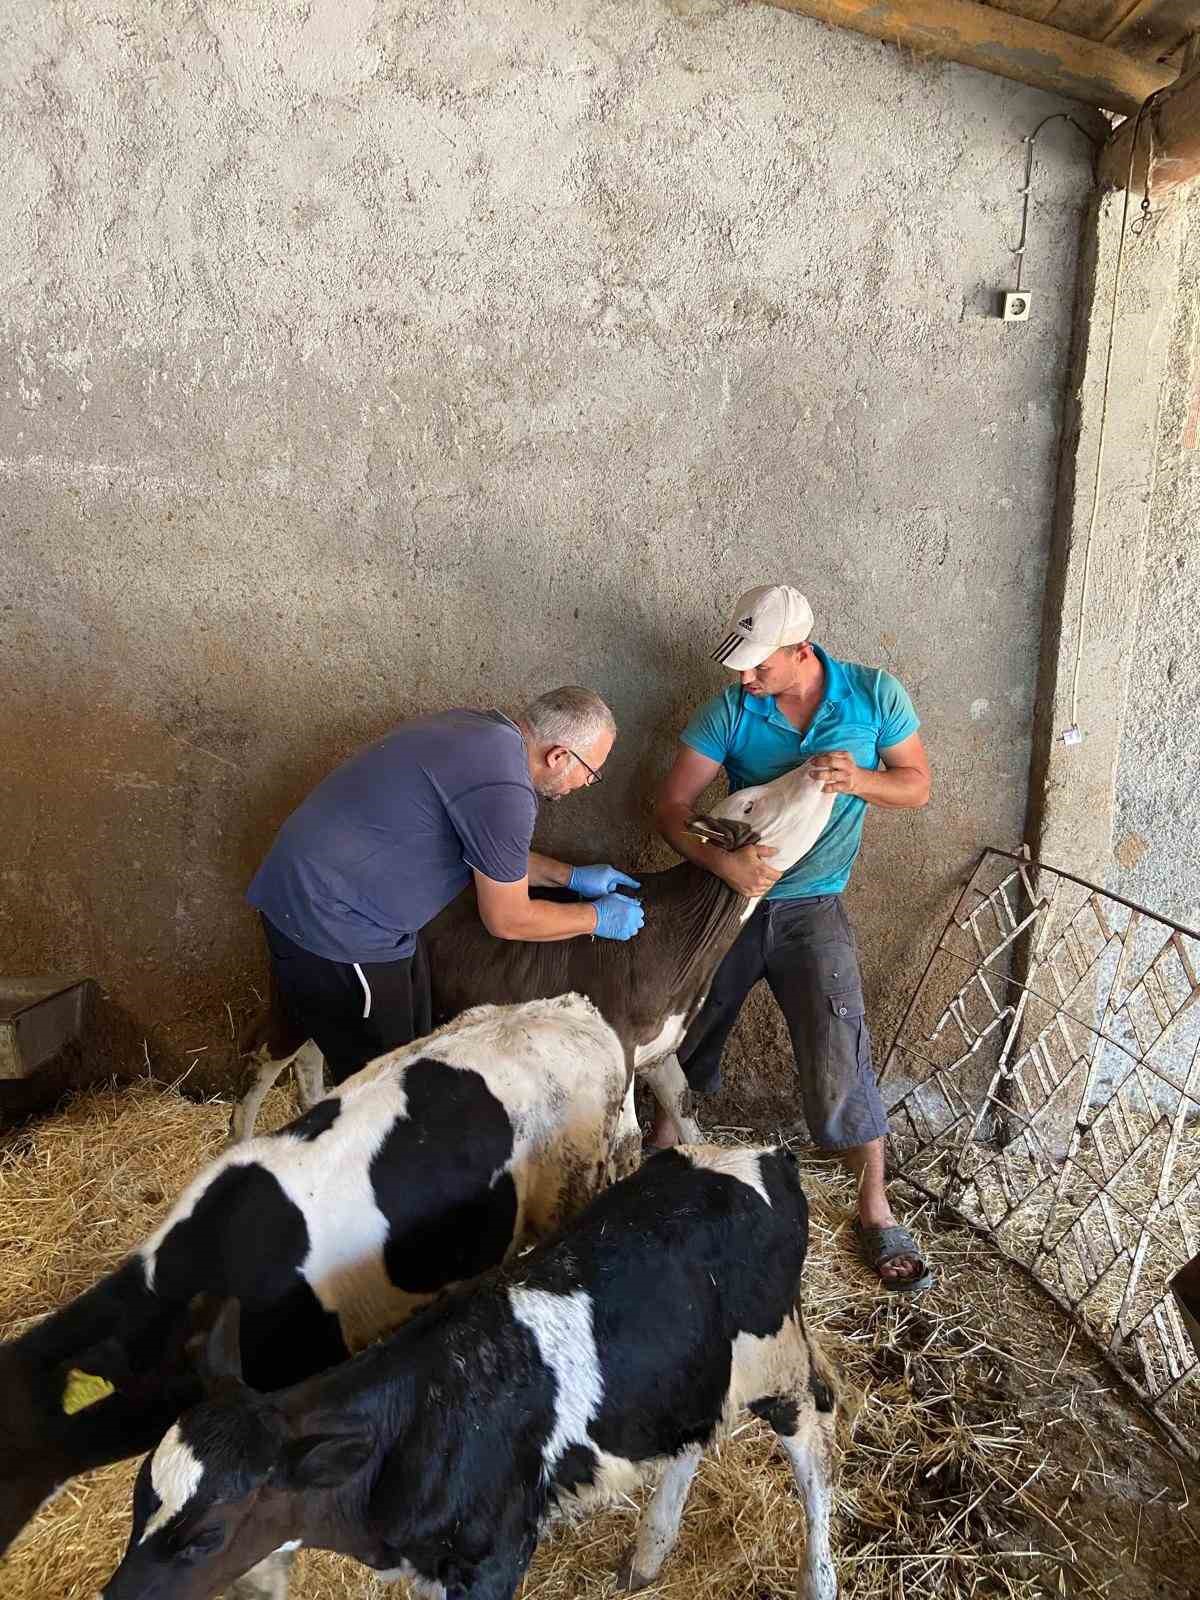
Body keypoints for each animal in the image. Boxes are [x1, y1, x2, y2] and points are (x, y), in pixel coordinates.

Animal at [103, 1145, 838, 1600]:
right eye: (139, 1498)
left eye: (208, 1535)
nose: (114, 1596)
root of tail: (759, 1155)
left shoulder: (496, 1554)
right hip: (690, 1374)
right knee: (692, 1439)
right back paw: (648, 1554)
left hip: (778, 1360)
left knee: (812, 1456)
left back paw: (819, 1579)